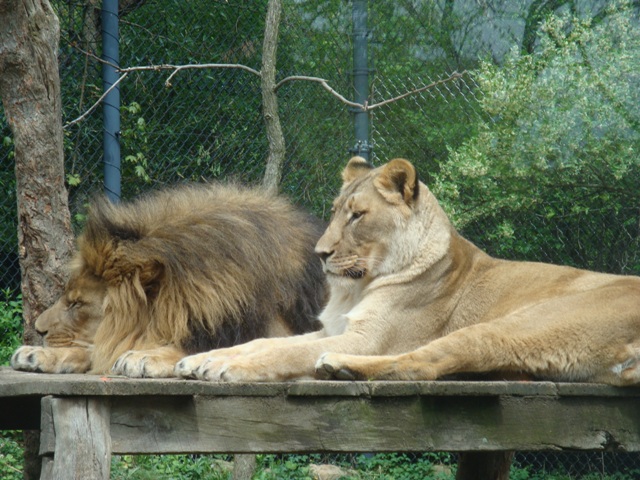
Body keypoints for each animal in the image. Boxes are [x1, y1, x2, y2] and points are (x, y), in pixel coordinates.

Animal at [11, 182, 325, 377]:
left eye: (76, 304)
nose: (37, 330)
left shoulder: (274, 331)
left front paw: (145, 356)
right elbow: (100, 349)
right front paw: (35, 354)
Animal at [174, 156, 640, 386]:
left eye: (357, 215)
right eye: (334, 211)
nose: (319, 253)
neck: (356, 288)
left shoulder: (367, 338)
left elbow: (283, 352)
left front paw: (225, 368)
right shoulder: (332, 328)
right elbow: (260, 343)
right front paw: (202, 360)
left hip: (520, 323)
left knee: (425, 363)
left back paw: (340, 367)